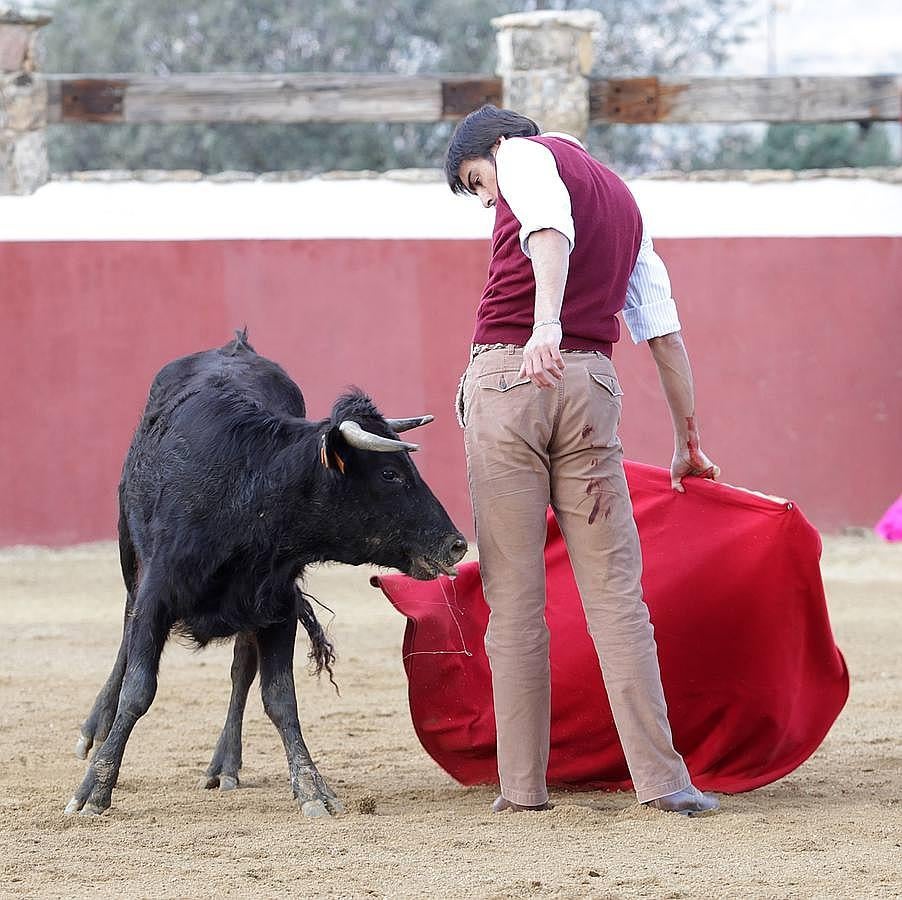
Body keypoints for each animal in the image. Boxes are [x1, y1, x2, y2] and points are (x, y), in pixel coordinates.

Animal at [67, 330, 470, 816]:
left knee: (242, 668)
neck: (246, 492)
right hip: (131, 556)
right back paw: (96, 728)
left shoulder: (276, 602)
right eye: (391, 473)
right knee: (127, 637)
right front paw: (94, 789)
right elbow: (139, 688)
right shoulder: (157, 595)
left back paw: (224, 764)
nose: (456, 544)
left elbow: (279, 698)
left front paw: (313, 788)